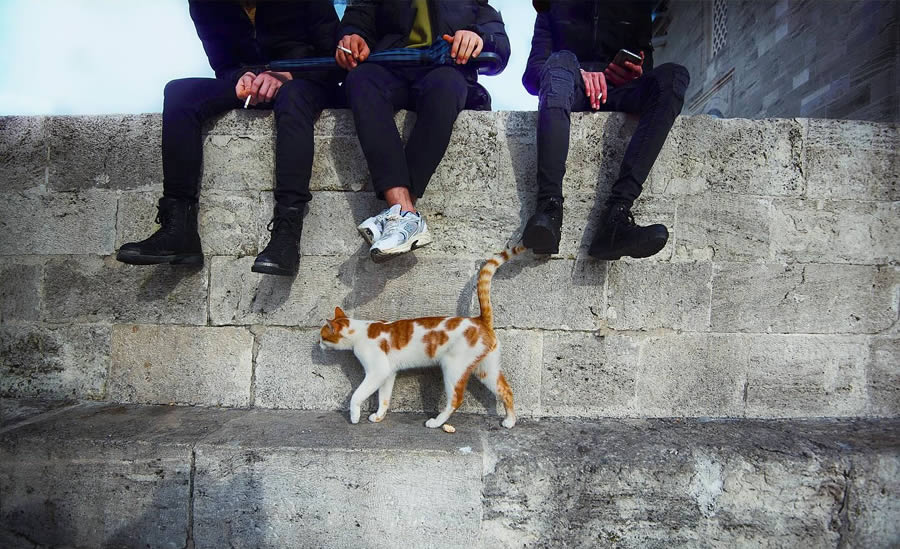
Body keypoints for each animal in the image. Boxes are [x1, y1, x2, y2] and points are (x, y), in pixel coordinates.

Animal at [320, 244, 524, 428]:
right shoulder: (388, 373)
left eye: (322, 337)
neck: (360, 331)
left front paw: (354, 416)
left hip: (453, 368)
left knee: (456, 399)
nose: (319, 345)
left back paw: (436, 422)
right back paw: (510, 421)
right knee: (506, 390)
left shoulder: (377, 371)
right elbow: (384, 398)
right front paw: (379, 416)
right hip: (486, 369)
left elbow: (357, 395)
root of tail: (480, 320)